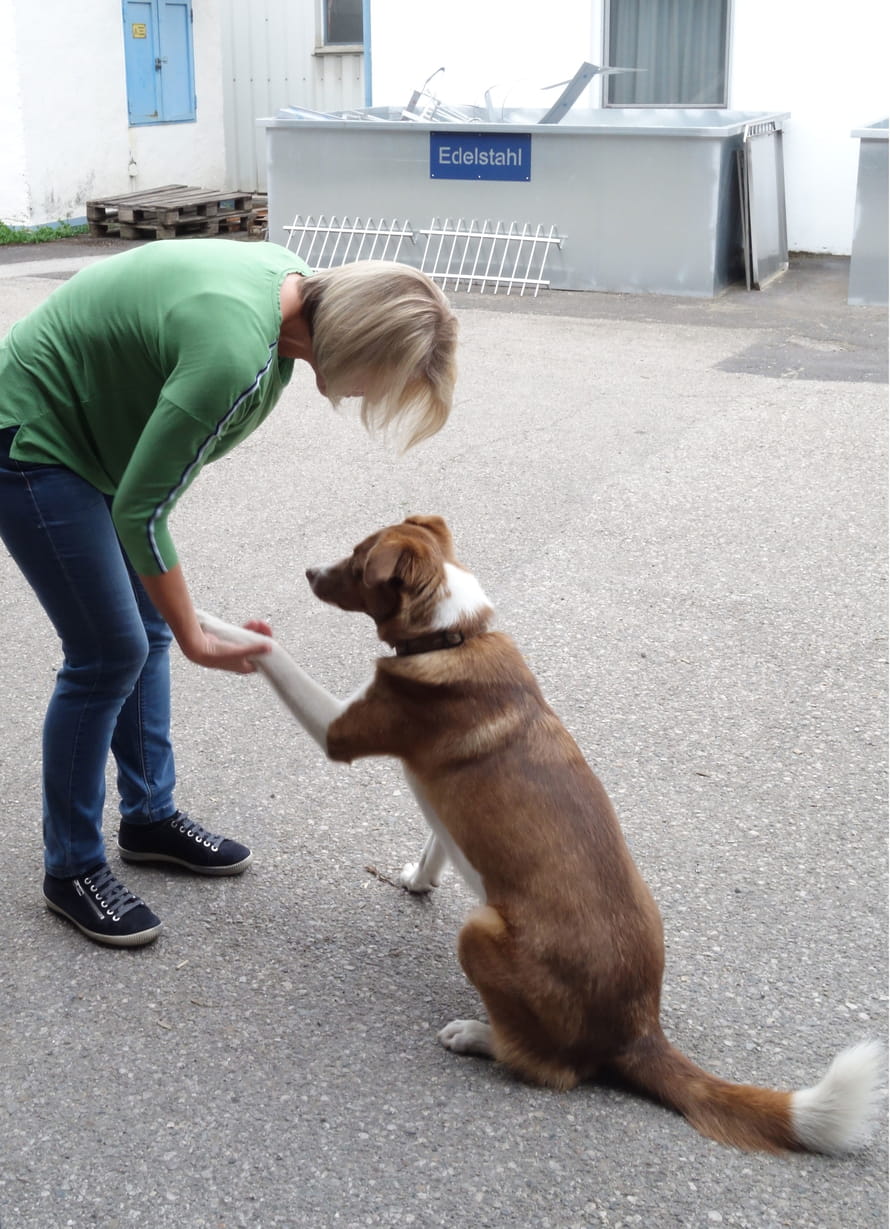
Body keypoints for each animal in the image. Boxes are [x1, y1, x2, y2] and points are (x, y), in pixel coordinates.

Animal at [196, 511, 885, 1150]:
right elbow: (437, 840)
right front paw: (418, 879)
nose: (309, 573)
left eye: (360, 562)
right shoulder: (442, 808)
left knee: (551, 1070)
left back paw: (477, 1034)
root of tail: (640, 1029)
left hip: (481, 932)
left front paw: (205, 619)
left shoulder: (339, 730)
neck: (451, 635)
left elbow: (271, 653)